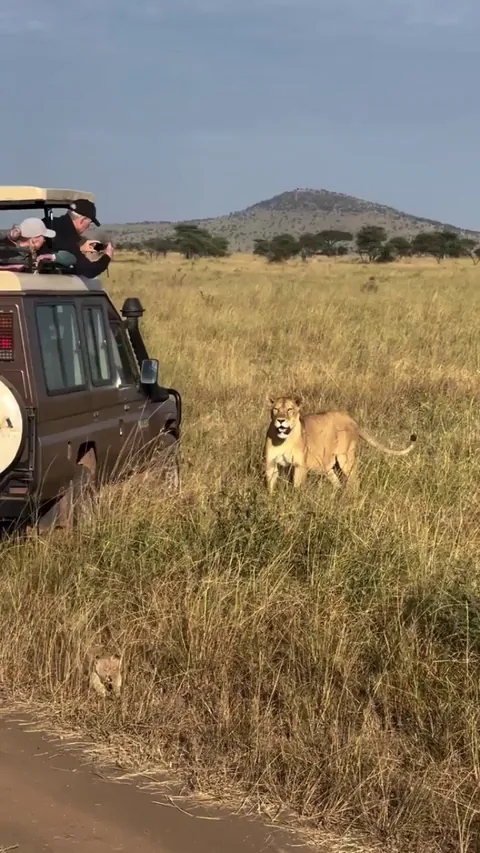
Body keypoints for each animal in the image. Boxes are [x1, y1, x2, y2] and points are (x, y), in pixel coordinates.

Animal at [264, 395, 416, 493]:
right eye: (275, 409)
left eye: (290, 410)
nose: (281, 420)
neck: (283, 440)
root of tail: (351, 419)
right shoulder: (271, 463)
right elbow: (270, 486)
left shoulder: (300, 466)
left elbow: (297, 487)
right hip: (326, 465)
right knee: (337, 481)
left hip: (345, 458)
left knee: (354, 481)